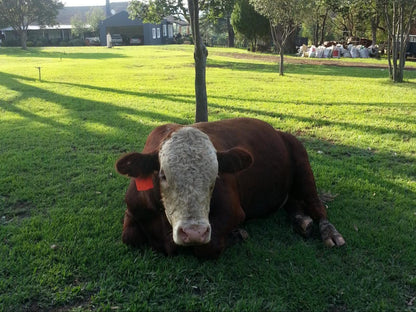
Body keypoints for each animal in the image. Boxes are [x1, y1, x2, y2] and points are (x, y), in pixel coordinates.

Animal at [114, 117, 344, 258]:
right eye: (162, 175)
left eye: (215, 175)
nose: (194, 233)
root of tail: (280, 133)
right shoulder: (132, 209)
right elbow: (129, 237)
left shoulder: (232, 211)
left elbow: (208, 247)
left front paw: (237, 235)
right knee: (293, 203)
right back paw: (302, 221)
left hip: (303, 164)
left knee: (317, 207)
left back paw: (329, 232)